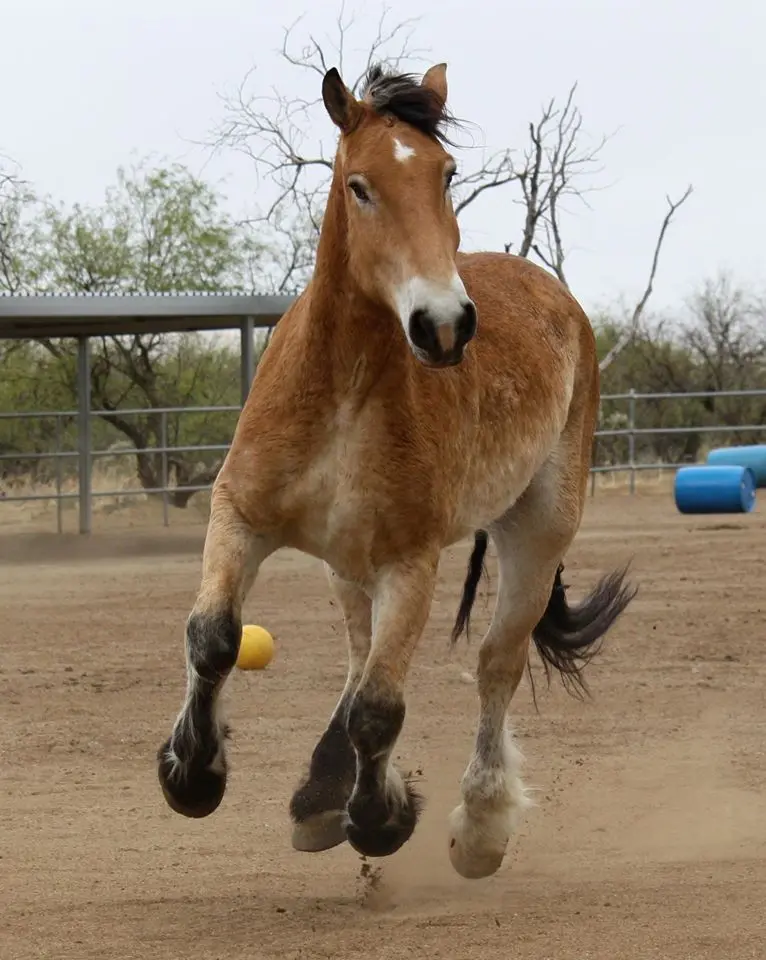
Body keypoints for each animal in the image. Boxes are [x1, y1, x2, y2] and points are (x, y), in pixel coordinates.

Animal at [156, 61, 636, 880]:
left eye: (447, 175)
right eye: (359, 184)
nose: (443, 324)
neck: (342, 393)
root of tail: (557, 297)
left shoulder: (409, 562)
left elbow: (381, 707)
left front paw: (381, 819)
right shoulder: (238, 517)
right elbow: (215, 636)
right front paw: (191, 776)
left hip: (537, 531)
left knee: (496, 664)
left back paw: (479, 826)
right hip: (348, 561)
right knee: (357, 656)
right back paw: (320, 796)